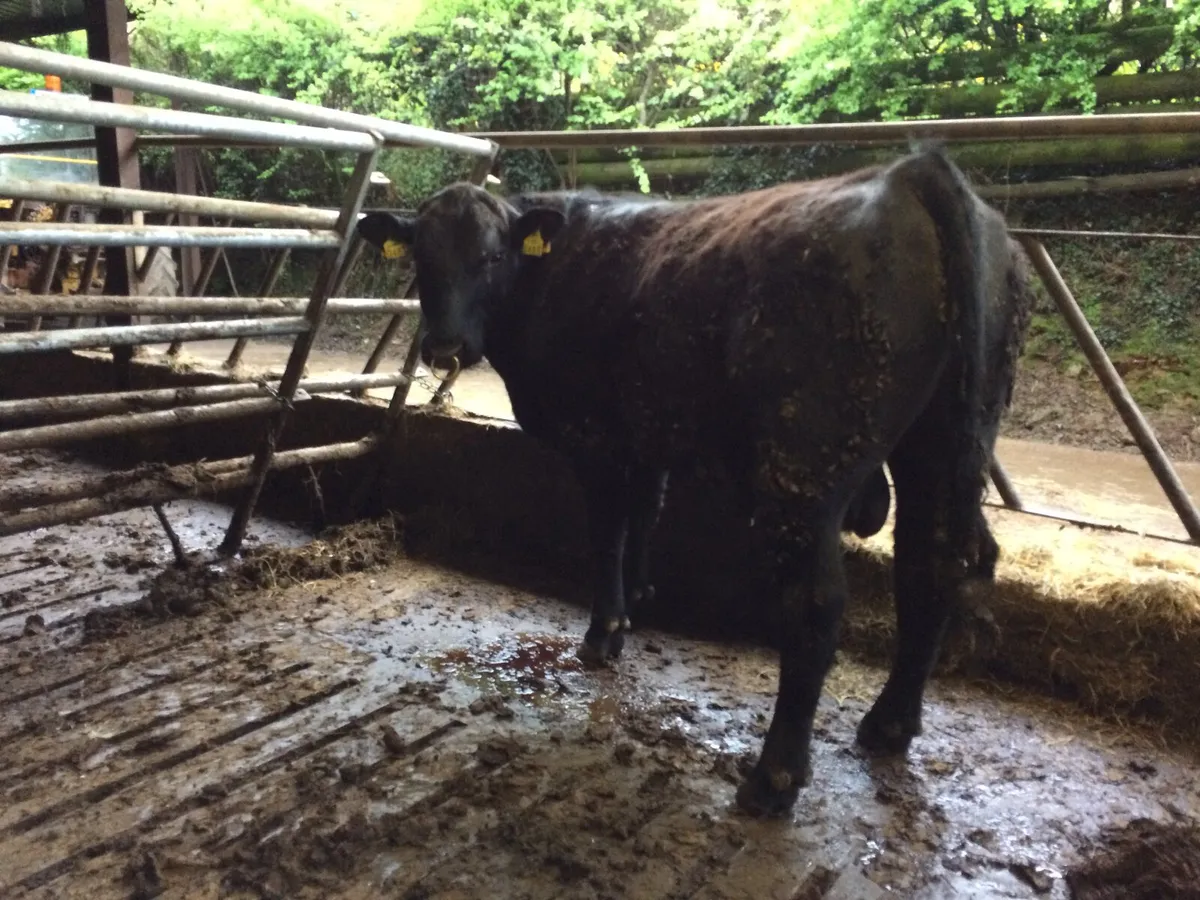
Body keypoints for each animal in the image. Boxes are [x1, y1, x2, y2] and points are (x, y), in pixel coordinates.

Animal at [357, 148, 1028, 817]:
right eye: (421, 260)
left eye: (492, 258)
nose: (444, 346)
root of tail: (914, 173)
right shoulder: (647, 432)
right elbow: (645, 515)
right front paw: (637, 603)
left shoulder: (594, 439)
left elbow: (607, 534)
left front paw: (603, 633)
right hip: (946, 444)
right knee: (935, 565)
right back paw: (890, 724)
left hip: (804, 469)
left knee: (817, 602)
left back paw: (773, 779)